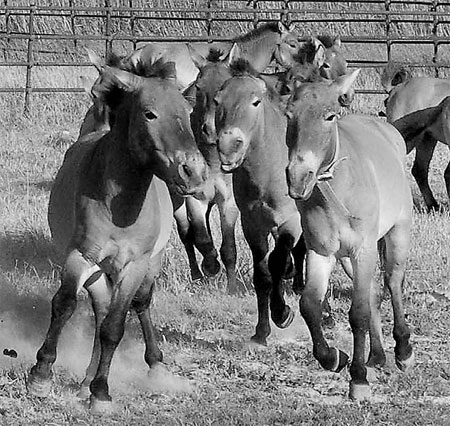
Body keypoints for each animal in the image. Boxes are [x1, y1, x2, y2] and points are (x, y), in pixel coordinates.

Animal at [25, 58, 207, 412]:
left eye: (187, 110)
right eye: (149, 113)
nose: (193, 173)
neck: (118, 208)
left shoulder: (134, 265)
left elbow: (115, 325)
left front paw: (101, 392)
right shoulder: (80, 257)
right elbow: (64, 305)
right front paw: (40, 374)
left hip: (150, 265)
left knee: (139, 305)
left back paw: (152, 366)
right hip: (98, 273)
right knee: (99, 311)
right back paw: (84, 380)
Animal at [214, 59, 304, 346]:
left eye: (255, 102)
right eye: (218, 100)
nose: (228, 145)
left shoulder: (290, 222)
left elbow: (277, 263)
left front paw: (282, 313)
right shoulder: (252, 225)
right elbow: (263, 275)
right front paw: (261, 330)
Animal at [284, 69, 414, 400]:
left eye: (329, 116)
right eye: (289, 115)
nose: (298, 178)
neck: (338, 187)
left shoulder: (363, 249)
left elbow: (358, 313)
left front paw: (358, 380)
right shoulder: (322, 252)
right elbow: (310, 305)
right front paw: (333, 358)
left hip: (397, 233)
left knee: (392, 283)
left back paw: (403, 351)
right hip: (346, 258)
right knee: (375, 293)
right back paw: (377, 357)